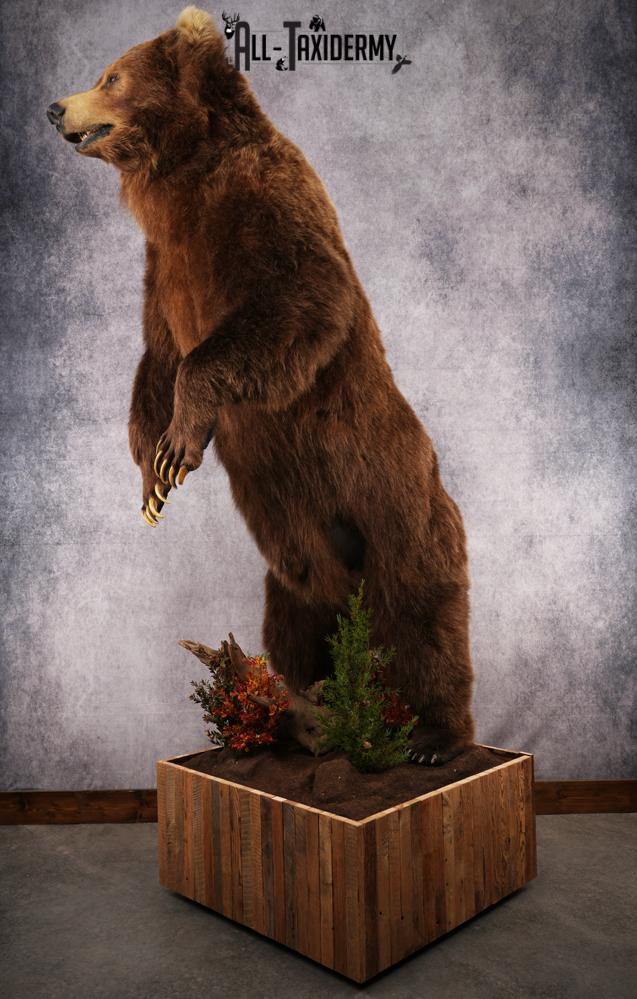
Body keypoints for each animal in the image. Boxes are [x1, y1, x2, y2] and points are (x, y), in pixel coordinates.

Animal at [46, 6, 475, 764]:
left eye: (110, 76)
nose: (54, 107)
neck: (175, 181)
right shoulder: (163, 266)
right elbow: (156, 357)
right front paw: (152, 480)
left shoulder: (262, 206)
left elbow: (300, 299)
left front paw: (179, 445)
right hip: (291, 564)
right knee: (297, 628)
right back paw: (307, 714)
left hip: (393, 495)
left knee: (423, 607)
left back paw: (433, 735)